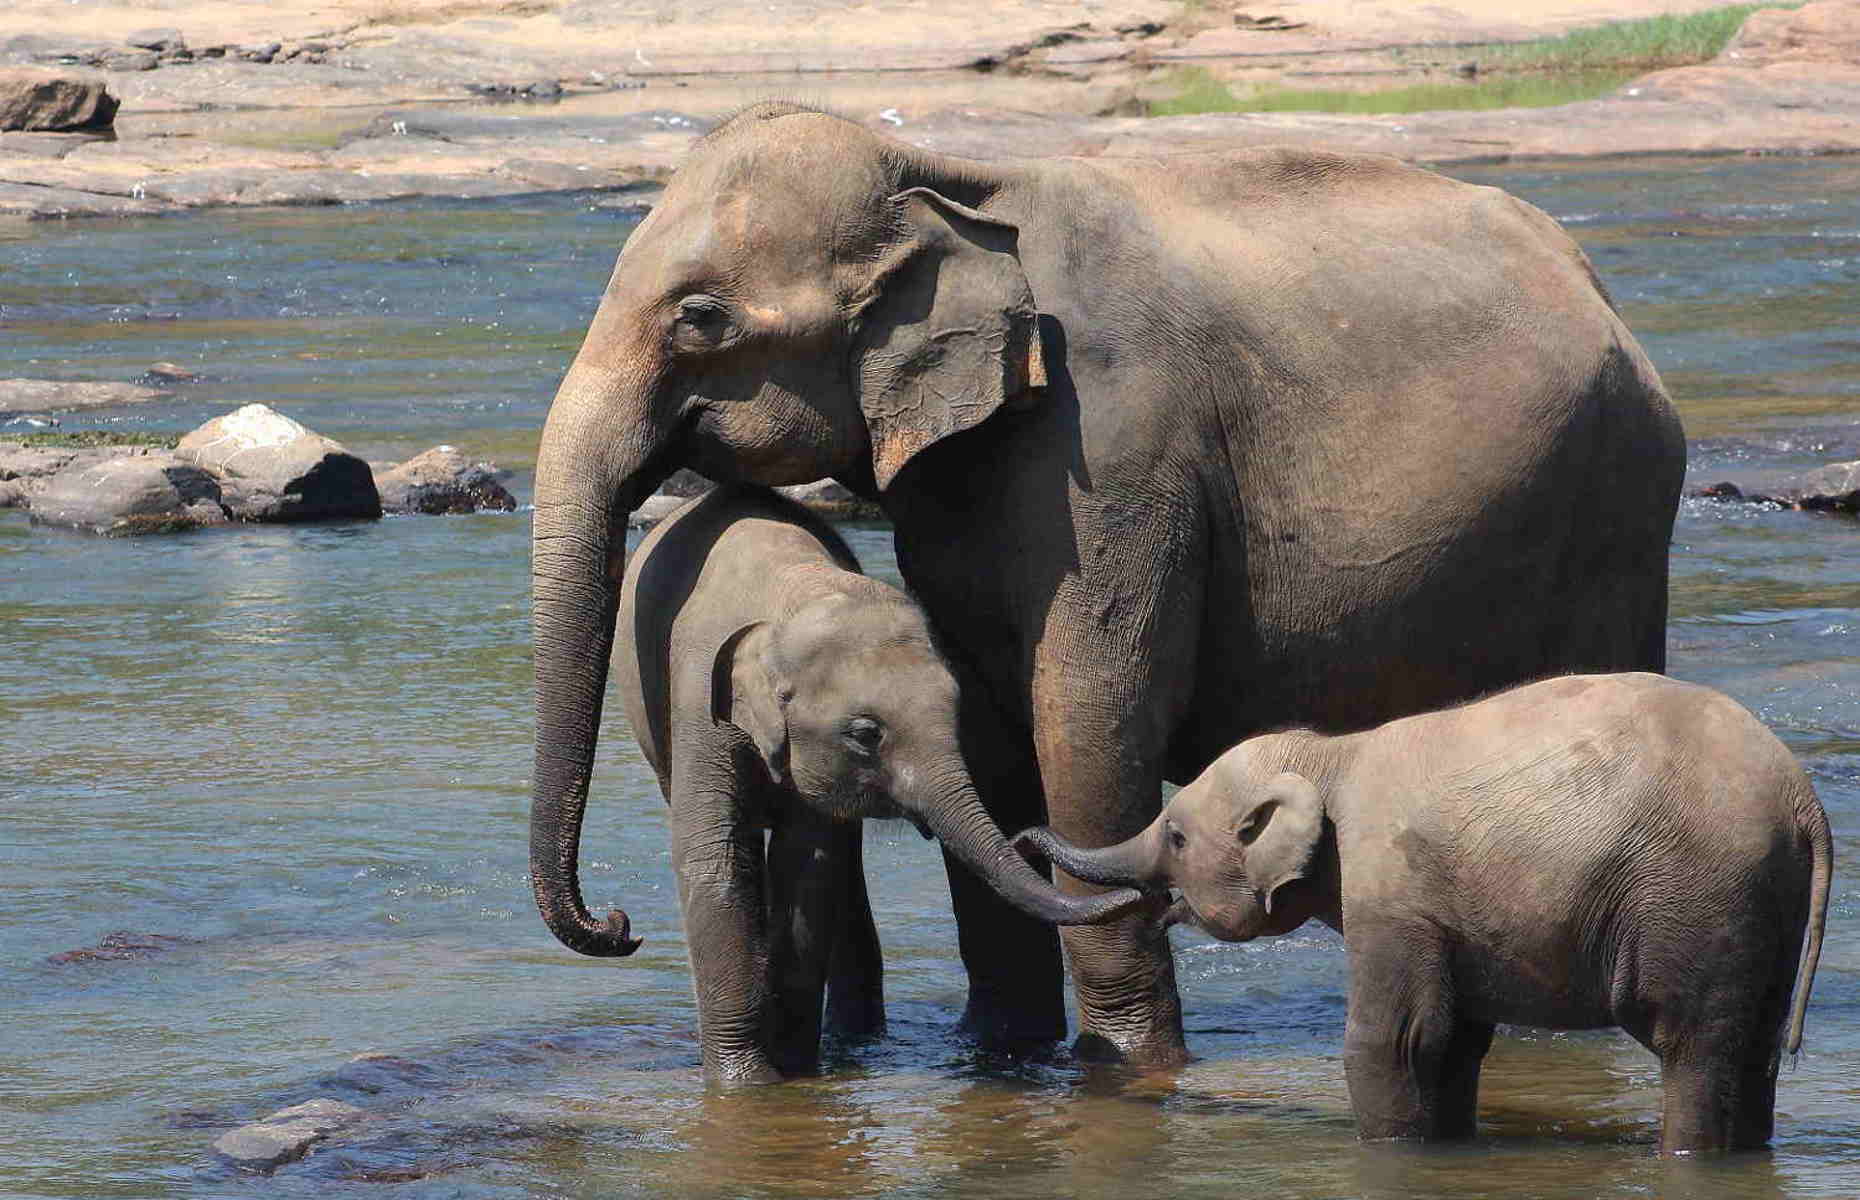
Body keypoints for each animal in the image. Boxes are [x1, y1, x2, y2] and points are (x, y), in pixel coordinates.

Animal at [617, 483, 1138, 1079]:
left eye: (957, 711)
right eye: (866, 734)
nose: (1028, 834)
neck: (799, 594)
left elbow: (809, 865)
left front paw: (792, 1067)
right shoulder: (697, 702)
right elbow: (715, 856)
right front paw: (749, 1081)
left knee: (841, 864)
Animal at [1026, 673, 1837, 1153]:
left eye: (1174, 836)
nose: (1023, 834)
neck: (1331, 754)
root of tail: (1804, 797)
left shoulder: (1391, 889)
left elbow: (1395, 1040)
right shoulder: (1444, 912)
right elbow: (1455, 1045)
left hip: (1702, 895)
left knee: (1693, 1050)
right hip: (1765, 902)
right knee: (1753, 1049)